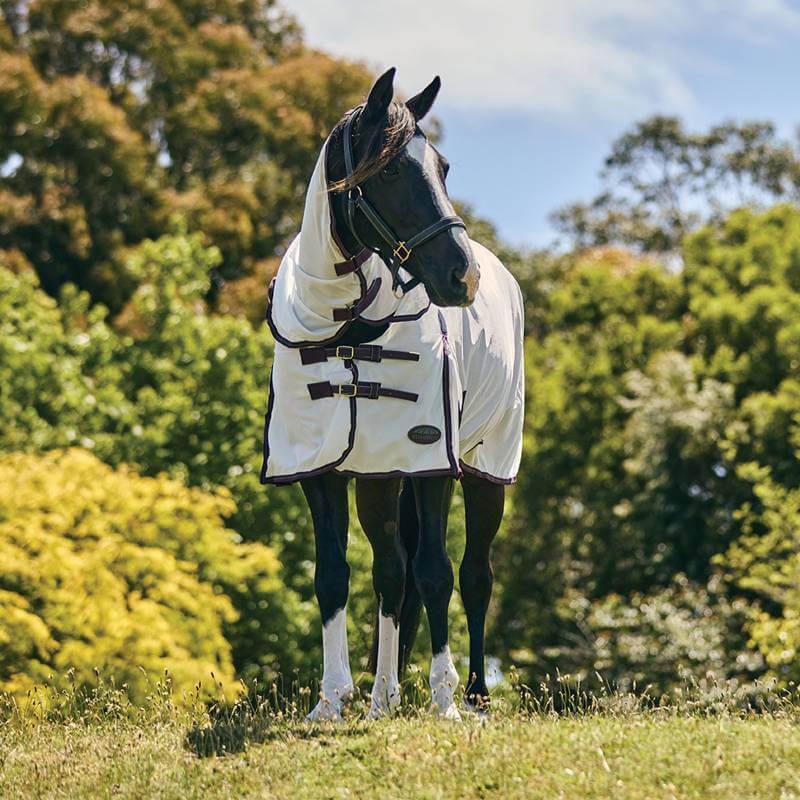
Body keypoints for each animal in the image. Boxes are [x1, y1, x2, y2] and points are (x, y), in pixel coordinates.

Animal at [261, 67, 524, 721]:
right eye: (388, 172)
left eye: (443, 167)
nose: (461, 276)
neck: (347, 329)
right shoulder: (322, 470)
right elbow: (335, 574)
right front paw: (332, 700)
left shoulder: (430, 463)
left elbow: (437, 573)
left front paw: (445, 699)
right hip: (380, 477)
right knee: (390, 572)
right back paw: (384, 695)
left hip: (484, 470)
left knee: (472, 574)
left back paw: (474, 694)